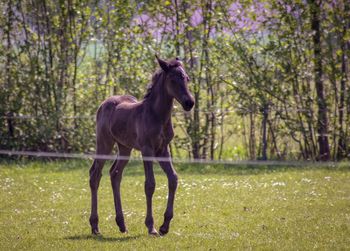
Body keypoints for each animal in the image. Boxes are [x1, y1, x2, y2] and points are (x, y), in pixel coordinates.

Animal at [89, 55, 196, 237]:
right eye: (173, 79)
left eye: (187, 78)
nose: (189, 103)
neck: (157, 115)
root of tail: (104, 103)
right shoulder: (147, 149)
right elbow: (150, 184)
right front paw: (151, 226)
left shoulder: (162, 150)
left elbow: (173, 178)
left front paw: (165, 225)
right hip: (104, 143)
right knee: (95, 175)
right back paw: (95, 226)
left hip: (125, 147)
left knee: (115, 174)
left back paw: (121, 224)